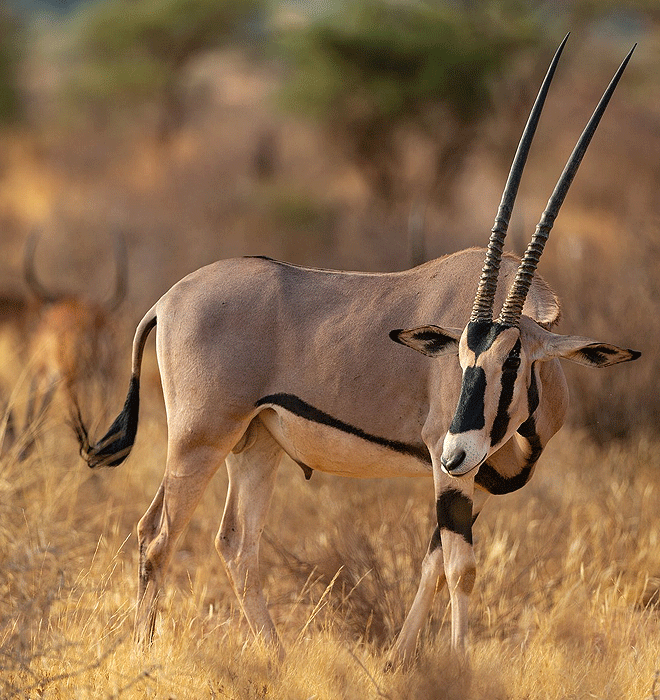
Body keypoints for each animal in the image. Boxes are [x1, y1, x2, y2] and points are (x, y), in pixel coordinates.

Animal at [73, 41, 640, 664]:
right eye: (462, 361)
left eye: (512, 361)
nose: (456, 450)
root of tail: (166, 300)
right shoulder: (447, 469)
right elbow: (460, 569)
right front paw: (458, 665)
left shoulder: (473, 480)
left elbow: (432, 564)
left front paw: (398, 661)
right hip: (200, 439)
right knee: (158, 537)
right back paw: (146, 654)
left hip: (256, 444)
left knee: (236, 544)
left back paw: (278, 658)